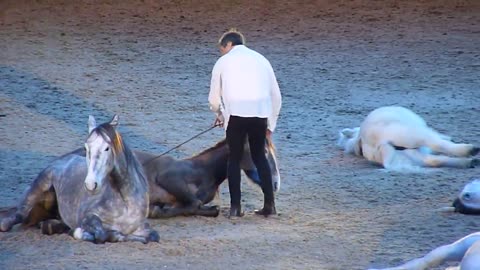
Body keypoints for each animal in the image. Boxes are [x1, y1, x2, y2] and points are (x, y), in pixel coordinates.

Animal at [0, 115, 159, 244]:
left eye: (107, 148)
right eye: (86, 148)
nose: (90, 184)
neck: (125, 203)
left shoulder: (142, 226)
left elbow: (152, 236)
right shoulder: (88, 217)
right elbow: (102, 234)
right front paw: (82, 233)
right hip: (36, 191)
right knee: (11, 220)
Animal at [338, 106, 480, 171]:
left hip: (410, 154)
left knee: (433, 160)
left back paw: (470, 162)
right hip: (413, 136)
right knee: (438, 145)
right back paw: (471, 150)